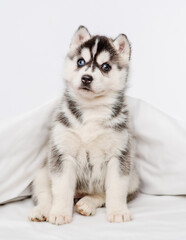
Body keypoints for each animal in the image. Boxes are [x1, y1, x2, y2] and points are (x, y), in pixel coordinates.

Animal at [29, 26, 139, 225]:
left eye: (106, 66)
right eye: (80, 62)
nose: (86, 78)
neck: (91, 110)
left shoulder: (119, 156)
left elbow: (115, 188)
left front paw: (118, 211)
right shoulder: (62, 154)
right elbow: (61, 189)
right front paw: (60, 212)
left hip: (133, 176)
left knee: (101, 194)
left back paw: (87, 203)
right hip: (42, 173)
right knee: (46, 194)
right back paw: (42, 210)